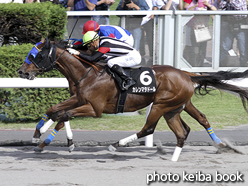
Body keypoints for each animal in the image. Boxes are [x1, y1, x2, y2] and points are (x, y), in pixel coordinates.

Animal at [21, 39, 248, 161]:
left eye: (36, 55)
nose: (21, 71)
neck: (87, 72)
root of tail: (186, 74)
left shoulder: (94, 108)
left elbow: (64, 114)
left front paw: (62, 142)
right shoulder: (78, 98)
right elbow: (54, 110)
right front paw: (38, 137)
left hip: (161, 105)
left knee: (149, 128)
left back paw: (116, 145)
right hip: (175, 108)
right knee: (190, 126)